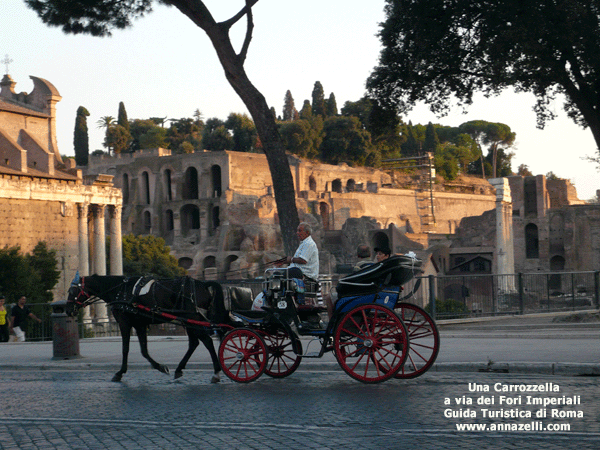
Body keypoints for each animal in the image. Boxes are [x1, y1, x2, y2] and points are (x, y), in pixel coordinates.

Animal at [67, 274, 230, 384]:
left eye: (72, 291)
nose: (68, 310)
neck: (120, 290)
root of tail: (202, 284)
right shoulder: (139, 324)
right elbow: (144, 350)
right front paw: (160, 367)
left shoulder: (125, 322)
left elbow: (125, 348)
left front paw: (120, 372)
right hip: (189, 319)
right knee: (195, 343)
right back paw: (180, 369)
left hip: (191, 317)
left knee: (207, 341)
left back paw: (216, 372)